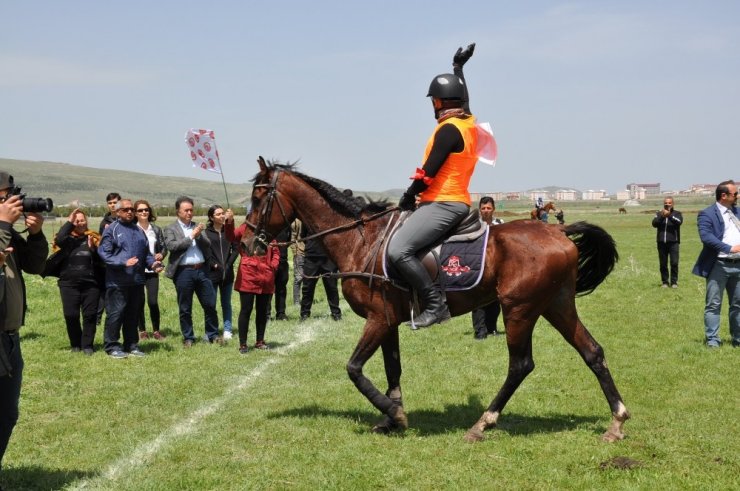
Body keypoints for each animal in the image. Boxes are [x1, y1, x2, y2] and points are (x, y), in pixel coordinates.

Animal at [246, 160, 628, 444]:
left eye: (258, 197)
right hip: (556, 305)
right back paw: (617, 421)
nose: (249, 243)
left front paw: (394, 413)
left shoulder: (377, 320)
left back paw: (483, 423)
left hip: (519, 309)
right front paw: (391, 417)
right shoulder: (387, 320)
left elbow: (354, 369)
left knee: (520, 365)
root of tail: (556, 231)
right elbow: (393, 368)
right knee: (592, 352)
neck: (361, 240)